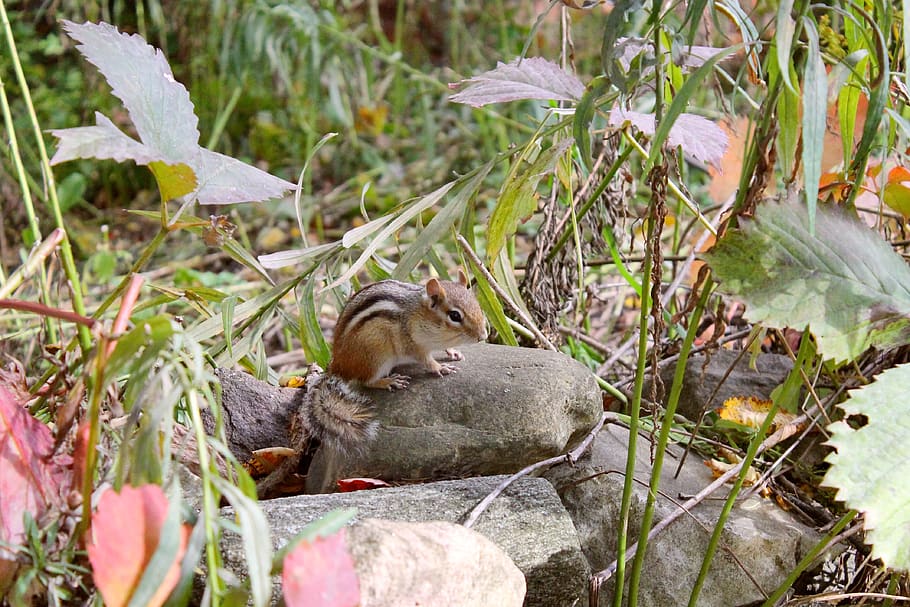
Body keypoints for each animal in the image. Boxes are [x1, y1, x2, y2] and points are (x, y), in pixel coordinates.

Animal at [256, 270, 488, 498]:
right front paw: (440, 368)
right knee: (366, 381)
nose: (483, 335)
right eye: (455, 315)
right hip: (377, 353)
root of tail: (338, 366)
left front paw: (454, 352)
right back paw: (388, 381)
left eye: (477, 305)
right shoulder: (411, 343)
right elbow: (425, 360)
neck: (419, 314)